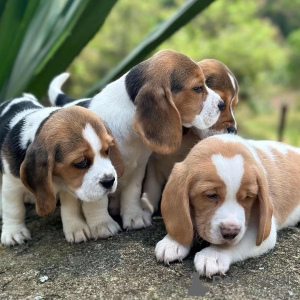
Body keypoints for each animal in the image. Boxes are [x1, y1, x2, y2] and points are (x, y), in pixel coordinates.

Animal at [0, 94, 123, 246]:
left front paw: (75, 228)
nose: (110, 181)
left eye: (107, 151)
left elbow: (69, 208)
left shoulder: (69, 186)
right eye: (81, 162)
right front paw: (13, 233)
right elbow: (13, 209)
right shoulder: (11, 184)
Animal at [47, 49, 225, 232]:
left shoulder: (139, 166)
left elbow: (132, 192)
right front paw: (103, 224)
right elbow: (98, 199)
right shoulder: (96, 169)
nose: (222, 104)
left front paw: (134, 216)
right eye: (197, 88)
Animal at [141, 58, 239, 213]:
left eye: (234, 106)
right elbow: (151, 189)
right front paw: (145, 208)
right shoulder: (153, 164)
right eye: (222, 104)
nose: (234, 130)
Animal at [155, 135, 300, 278]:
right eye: (211, 195)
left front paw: (214, 255)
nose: (230, 232)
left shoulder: (264, 232)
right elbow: (184, 226)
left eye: (248, 197)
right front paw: (173, 242)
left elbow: (234, 243)